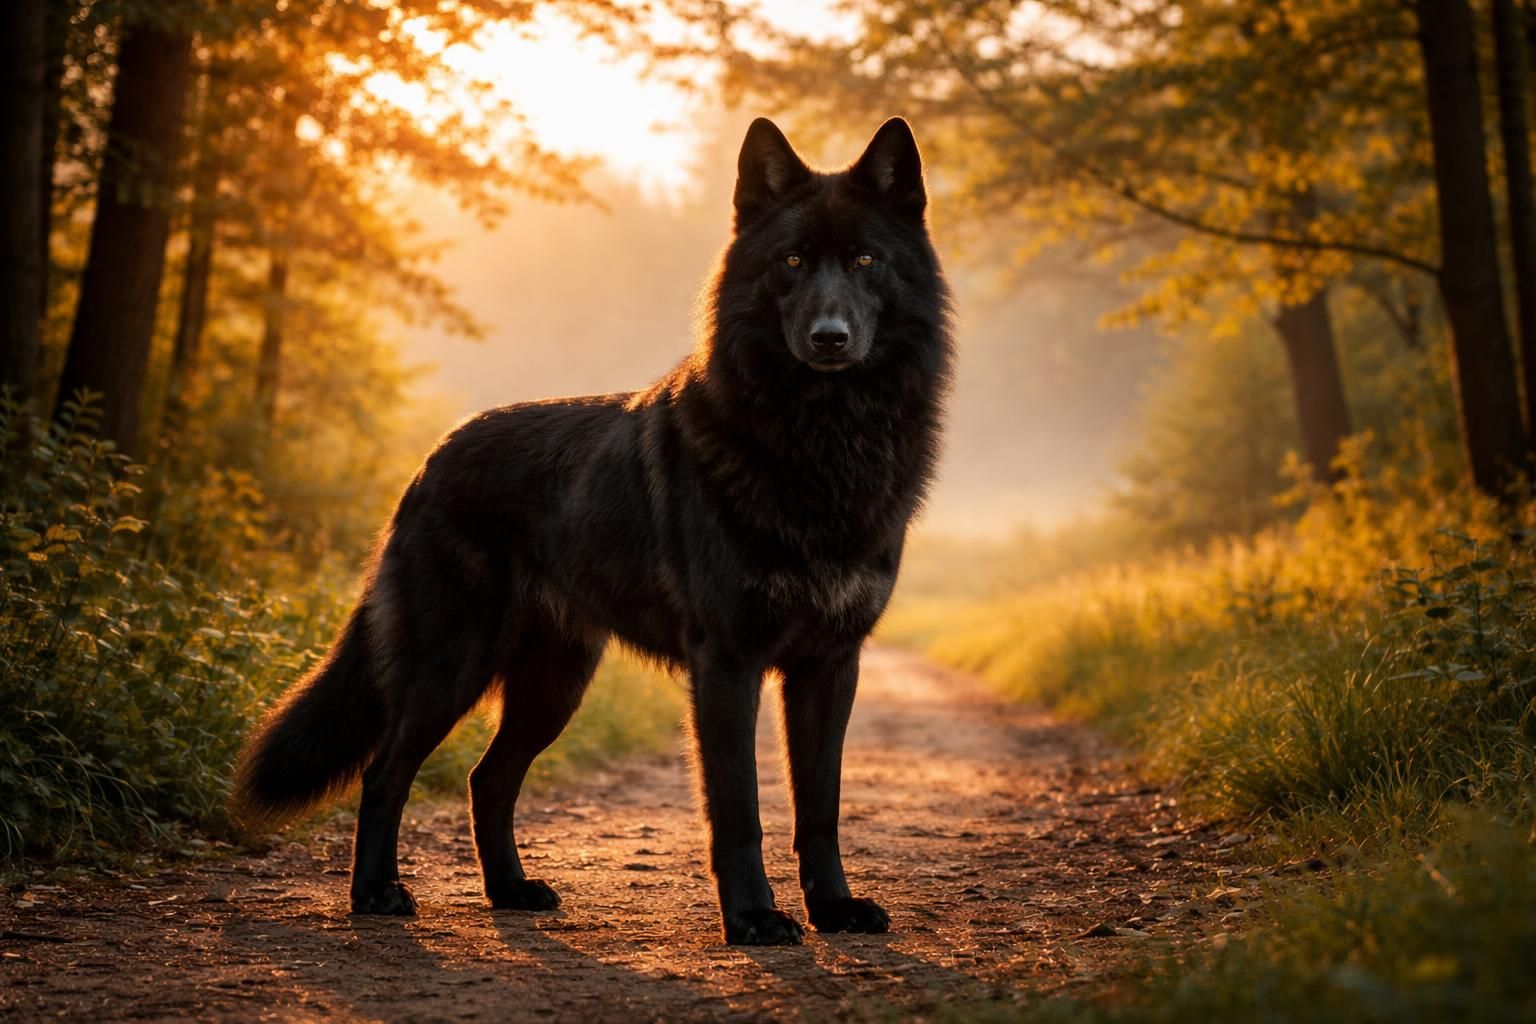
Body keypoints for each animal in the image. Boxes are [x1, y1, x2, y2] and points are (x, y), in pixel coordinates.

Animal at [233, 116, 953, 946]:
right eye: (793, 262)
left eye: (866, 260)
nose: (830, 337)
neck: (823, 440)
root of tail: (429, 464)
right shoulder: (728, 664)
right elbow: (739, 808)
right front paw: (752, 917)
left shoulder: (831, 666)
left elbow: (821, 807)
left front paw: (833, 908)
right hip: (453, 667)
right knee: (385, 775)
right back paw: (376, 893)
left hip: (553, 685)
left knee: (486, 779)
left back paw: (510, 891)